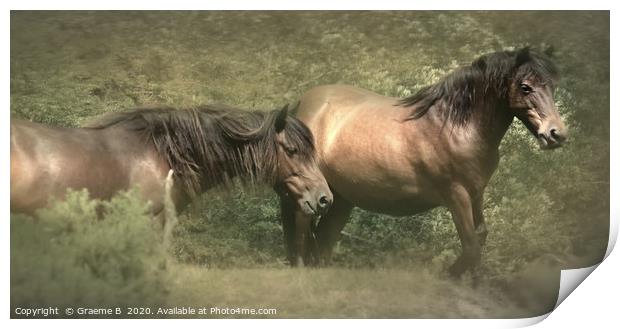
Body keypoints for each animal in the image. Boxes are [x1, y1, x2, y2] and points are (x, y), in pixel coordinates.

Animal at [284, 48, 568, 274]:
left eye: (552, 86)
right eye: (525, 87)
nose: (556, 134)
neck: (457, 125)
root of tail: (302, 104)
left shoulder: (476, 194)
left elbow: (481, 237)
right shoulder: (456, 195)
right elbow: (471, 247)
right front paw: (448, 275)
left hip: (342, 198)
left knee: (324, 237)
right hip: (311, 194)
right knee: (302, 226)